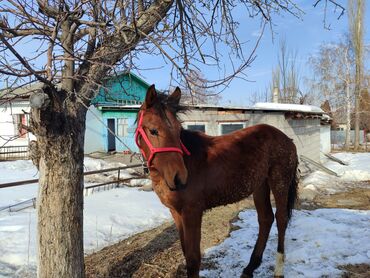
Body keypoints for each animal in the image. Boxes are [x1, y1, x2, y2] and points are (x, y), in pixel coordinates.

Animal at [134, 85, 300, 278]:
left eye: (178, 131)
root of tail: (288, 140)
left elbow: (193, 258)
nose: (179, 177)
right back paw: (249, 268)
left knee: (281, 219)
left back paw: (278, 269)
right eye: (153, 130)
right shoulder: (176, 213)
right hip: (260, 186)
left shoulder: (192, 212)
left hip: (279, 181)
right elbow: (185, 252)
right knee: (265, 219)